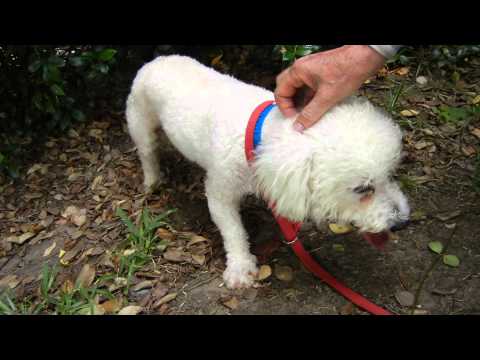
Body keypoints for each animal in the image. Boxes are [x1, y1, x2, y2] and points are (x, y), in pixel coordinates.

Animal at [125, 54, 410, 288]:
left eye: (390, 175)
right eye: (363, 189)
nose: (401, 223)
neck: (259, 137)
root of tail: (158, 59)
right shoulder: (220, 192)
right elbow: (233, 231)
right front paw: (240, 268)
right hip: (140, 119)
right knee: (147, 153)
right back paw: (152, 181)